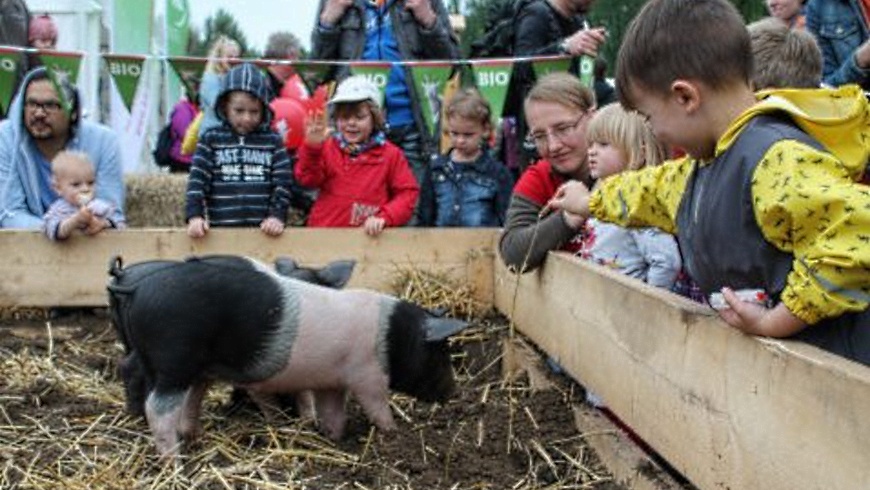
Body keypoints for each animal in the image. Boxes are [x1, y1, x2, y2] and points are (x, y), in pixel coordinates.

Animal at [107, 255, 470, 458]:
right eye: (440, 353)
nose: (453, 392)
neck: (393, 336)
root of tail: (135, 288)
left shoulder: (331, 383)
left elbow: (333, 412)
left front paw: (333, 437)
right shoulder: (368, 377)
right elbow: (378, 407)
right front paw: (393, 434)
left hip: (194, 367)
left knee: (187, 399)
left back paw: (194, 438)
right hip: (175, 362)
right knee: (158, 409)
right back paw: (175, 462)